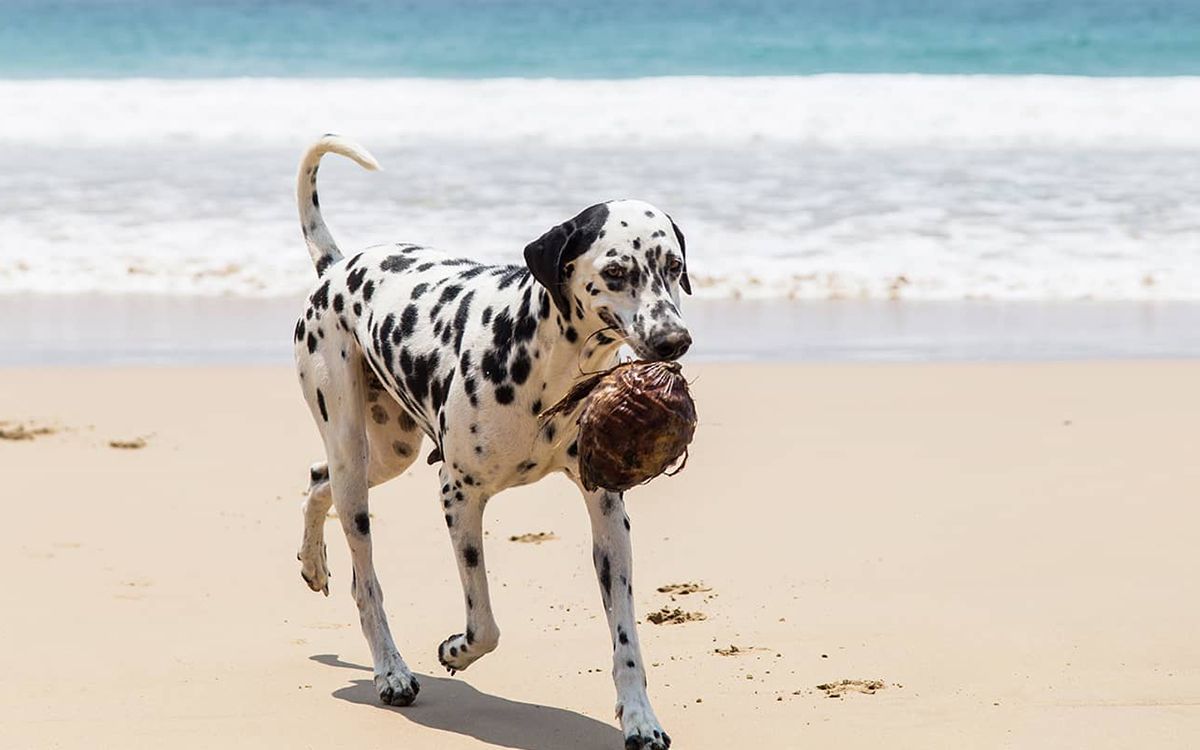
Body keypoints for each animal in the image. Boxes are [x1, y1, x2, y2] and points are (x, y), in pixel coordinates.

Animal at [289, 136, 696, 748]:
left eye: (673, 266)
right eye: (616, 271)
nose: (676, 340)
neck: (547, 361)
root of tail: (336, 267)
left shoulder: (607, 512)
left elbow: (626, 638)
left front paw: (640, 719)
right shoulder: (458, 495)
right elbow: (484, 624)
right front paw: (454, 650)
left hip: (388, 451)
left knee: (319, 480)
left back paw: (314, 564)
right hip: (351, 450)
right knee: (365, 580)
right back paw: (391, 670)